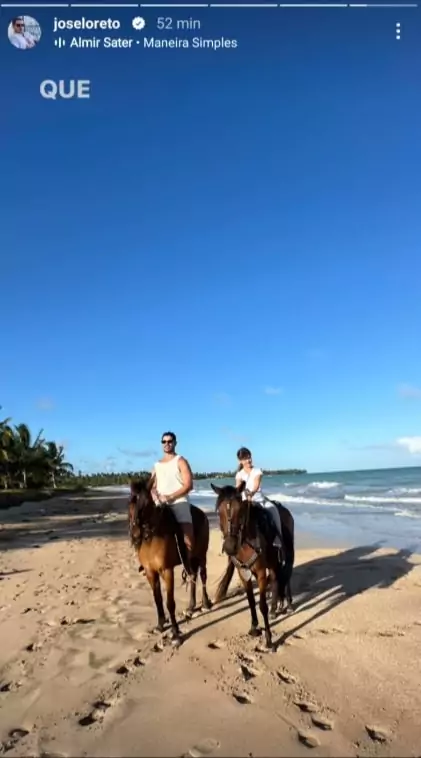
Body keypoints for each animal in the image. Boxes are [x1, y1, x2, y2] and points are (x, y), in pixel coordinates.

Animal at [127, 480, 213, 648]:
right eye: (130, 503)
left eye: (146, 503)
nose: (135, 534)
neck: (152, 536)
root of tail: (203, 515)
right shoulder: (150, 572)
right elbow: (157, 599)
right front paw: (160, 625)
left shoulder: (167, 570)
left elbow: (170, 602)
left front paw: (175, 633)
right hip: (190, 559)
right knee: (193, 576)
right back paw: (191, 607)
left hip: (201, 555)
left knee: (203, 576)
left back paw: (205, 603)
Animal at [210, 484, 296, 652]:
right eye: (219, 511)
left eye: (240, 511)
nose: (229, 547)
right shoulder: (244, 574)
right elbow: (250, 601)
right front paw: (254, 628)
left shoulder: (261, 573)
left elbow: (262, 605)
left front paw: (269, 640)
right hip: (273, 563)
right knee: (276, 579)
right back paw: (275, 608)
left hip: (286, 554)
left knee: (287, 576)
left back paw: (288, 604)